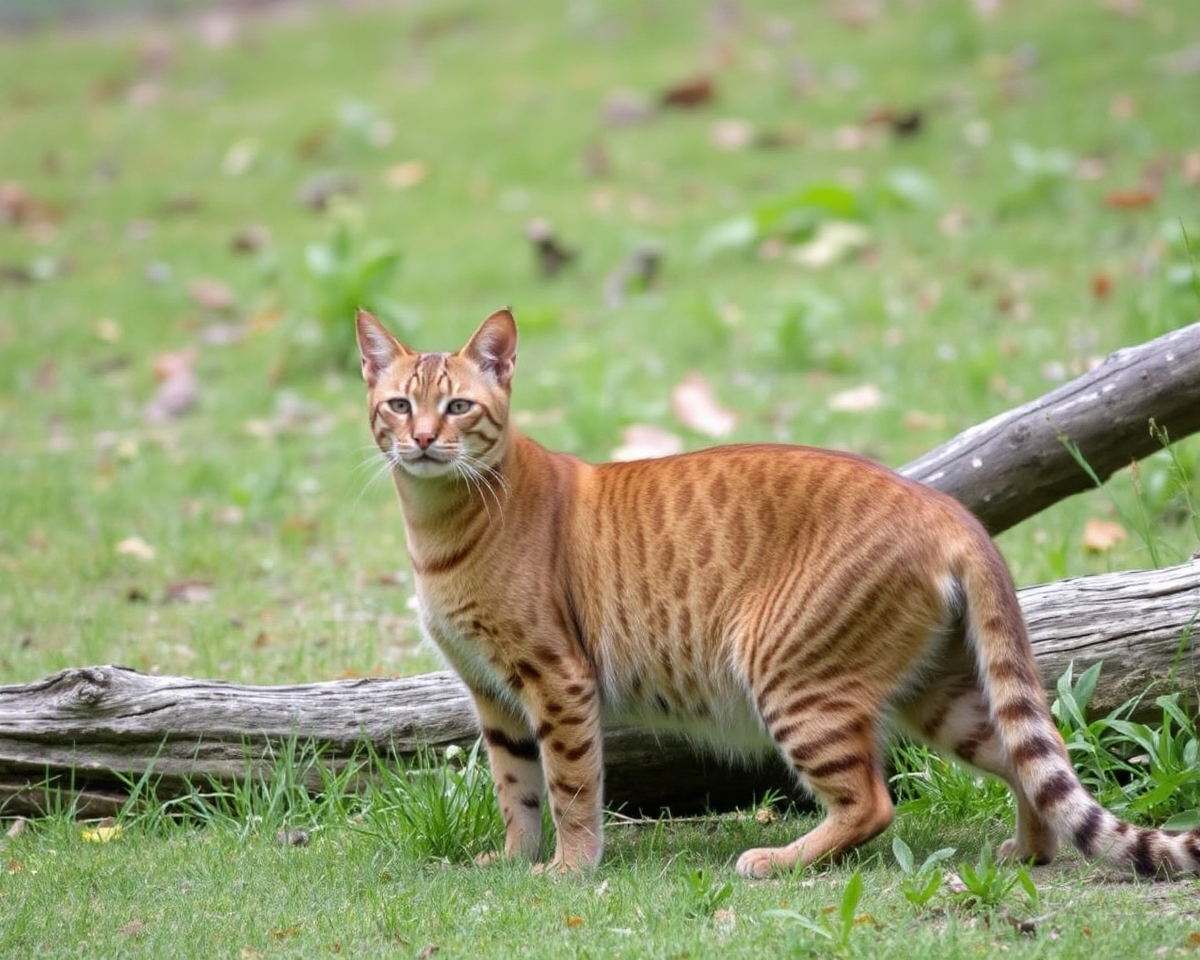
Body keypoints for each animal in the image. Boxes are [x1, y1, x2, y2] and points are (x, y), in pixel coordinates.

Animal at [352, 307, 1200, 878]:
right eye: (399, 404)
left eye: (459, 405)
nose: (422, 439)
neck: (436, 521)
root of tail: (944, 506)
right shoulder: (491, 692)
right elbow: (515, 788)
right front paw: (513, 861)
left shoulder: (556, 680)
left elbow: (567, 785)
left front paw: (570, 868)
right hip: (937, 695)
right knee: (1028, 762)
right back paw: (1028, 852)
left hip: (793, 677)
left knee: (872, 801)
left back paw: (779, 861)